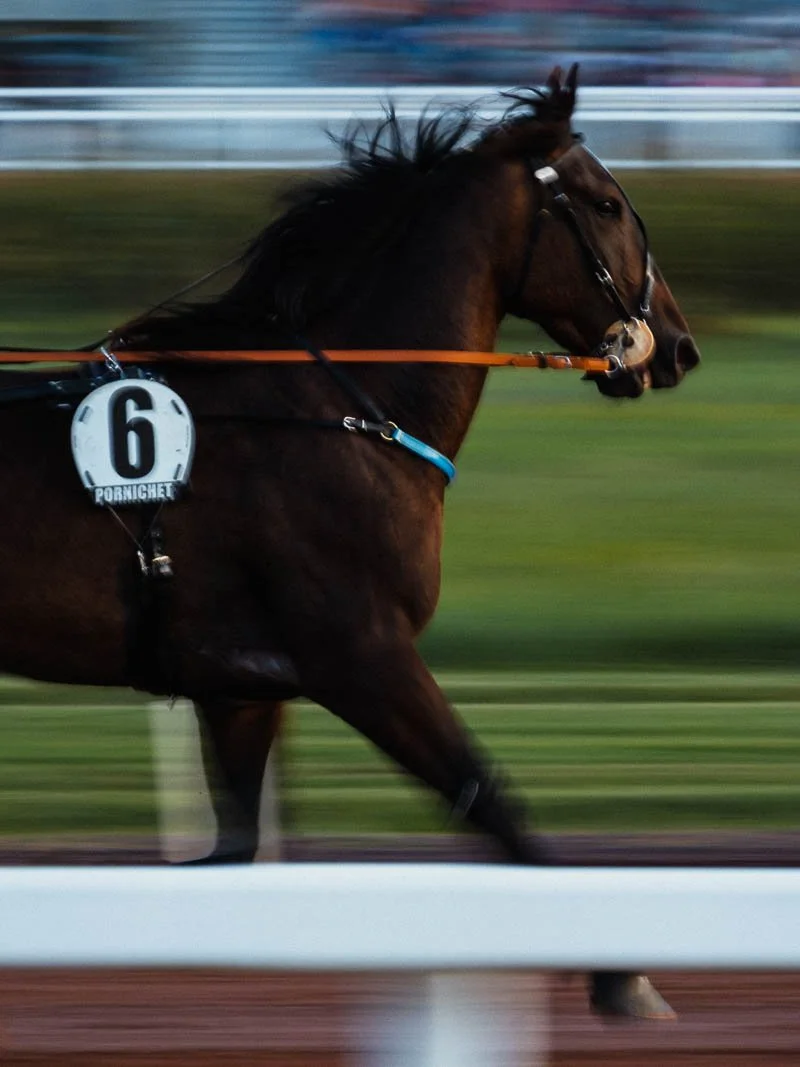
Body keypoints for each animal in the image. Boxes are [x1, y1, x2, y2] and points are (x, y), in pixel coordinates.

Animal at [0, 65, 699, 1017]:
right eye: (604, 203)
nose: (678, 346)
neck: (344, 410)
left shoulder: (241, 686)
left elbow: (232, 846)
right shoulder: (361, 653)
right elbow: (490, 796)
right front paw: (621, 972)